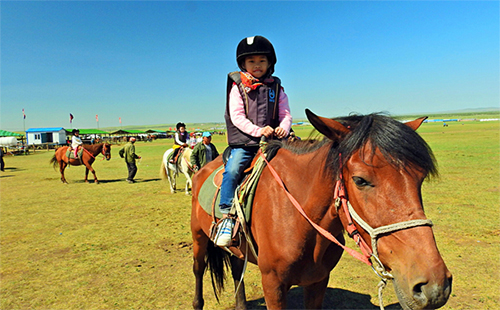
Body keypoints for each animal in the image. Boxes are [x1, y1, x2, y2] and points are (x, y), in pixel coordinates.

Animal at [190, 109, 454, 310]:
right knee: (199, 269)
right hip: (199, 237)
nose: (434, 286)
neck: (299, 220)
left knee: (237, 270)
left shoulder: (318, 281)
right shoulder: (273, 285)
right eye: (360, 180)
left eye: (420, 178)